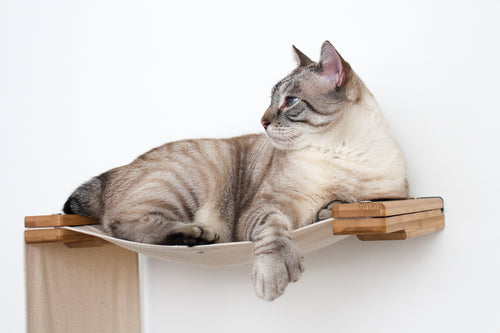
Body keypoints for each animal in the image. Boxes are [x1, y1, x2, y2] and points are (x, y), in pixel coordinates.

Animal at [62, 40, 408, 300]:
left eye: (291, 101)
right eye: (272, 100)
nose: (263, 121)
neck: (341, 150)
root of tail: (114, 171)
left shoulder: (384, 198)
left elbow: (342, 205)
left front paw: (335, 205)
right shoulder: (269, 209)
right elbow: (275, 231)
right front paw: (274, 273)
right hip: (188, 181)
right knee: (124, 226)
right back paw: (196, 234)